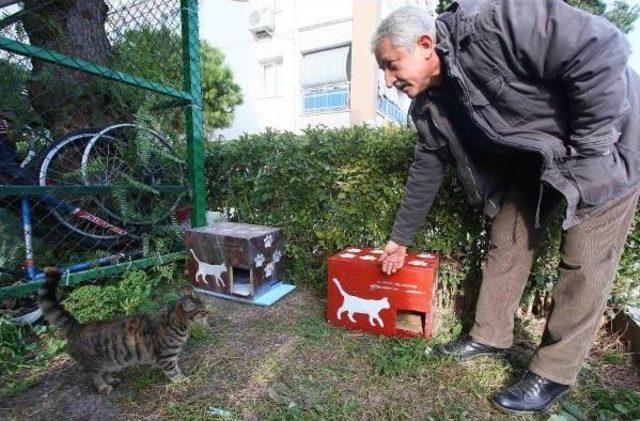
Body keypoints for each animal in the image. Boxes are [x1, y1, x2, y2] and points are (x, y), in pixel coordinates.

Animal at [37, 266, 206, 394]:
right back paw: (104, 387)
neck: (173, 323)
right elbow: (174, 372)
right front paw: (182, 380)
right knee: (94, 376)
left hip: (111, 361)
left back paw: (113, 379)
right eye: (203, 310)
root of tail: (79, 326)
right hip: (96, 363)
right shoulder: (166, 358)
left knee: (104, 372)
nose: (209, 312)